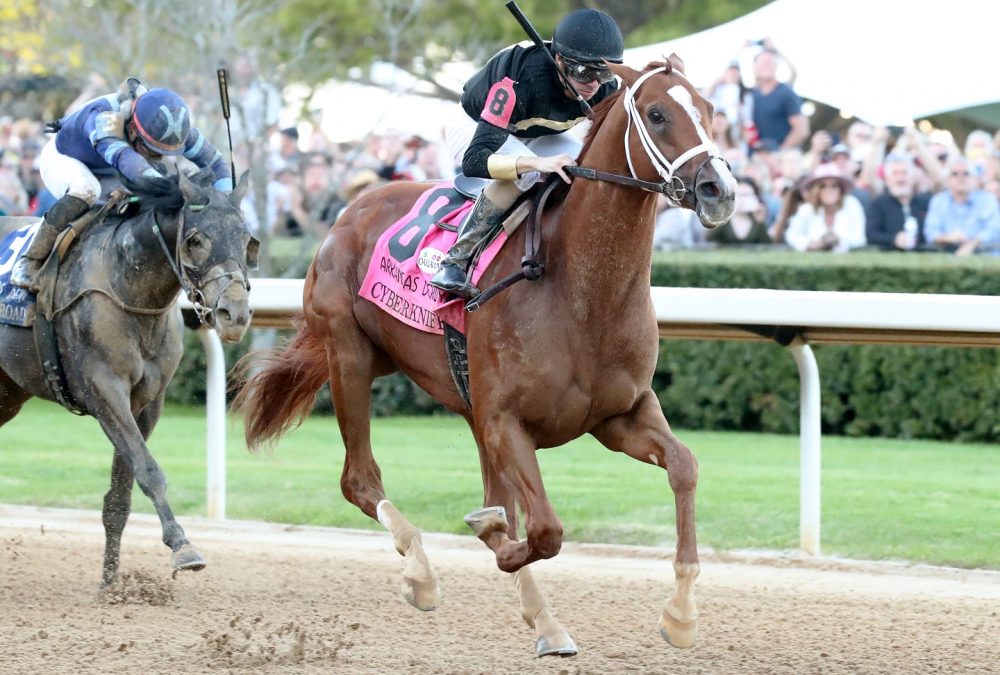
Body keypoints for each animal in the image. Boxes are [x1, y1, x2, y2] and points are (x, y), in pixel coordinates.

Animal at [0, 169, 256, 588]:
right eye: (195, 240)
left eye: (248, 240)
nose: (234, 314)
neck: (131, 289)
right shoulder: (104, 389)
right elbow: (148, 470)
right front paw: (182, 547)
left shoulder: (147, 402)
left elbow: (121, 493)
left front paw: (111, 585)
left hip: (8, 392)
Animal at [234, 60, 736, 656]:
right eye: (657, 115)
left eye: (710, 110)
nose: (719, 189)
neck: (583, 291)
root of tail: (348, 211)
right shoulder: (505, 421)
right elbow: (543, 529)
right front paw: (491, 538)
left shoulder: (620, 414)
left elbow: (683, 466)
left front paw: (681, 614)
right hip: (349, 355)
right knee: (360, 479)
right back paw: (423, 575)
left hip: (438, 386)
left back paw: (541, 617)